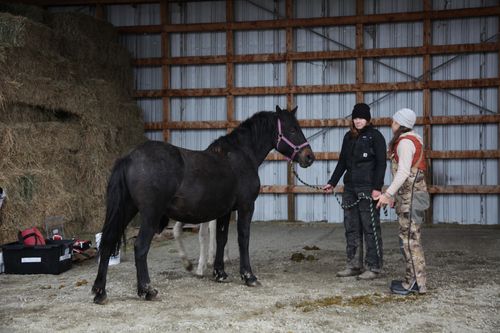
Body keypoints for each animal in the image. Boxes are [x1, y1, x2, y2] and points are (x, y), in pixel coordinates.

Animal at [92, 105, 314, 304]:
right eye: (292, 129)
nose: (309, 157)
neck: (240, 156)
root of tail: (129, 157)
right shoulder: (246, 207)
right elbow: (243, 239)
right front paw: (248, 276)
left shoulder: (225, 212)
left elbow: (222, 239)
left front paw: (220, 273)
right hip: (150, 214)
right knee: (140, 247)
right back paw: (147, 290)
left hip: (127, 209)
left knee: (107, 243)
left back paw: (100, 292)